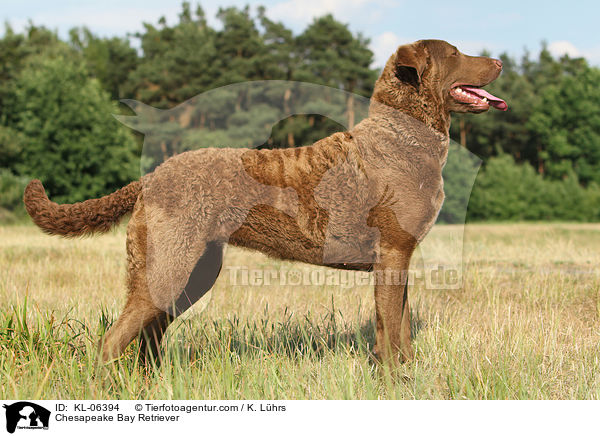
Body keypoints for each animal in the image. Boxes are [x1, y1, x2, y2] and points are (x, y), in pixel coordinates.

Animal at [22, 41, 506, 366]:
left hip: (194, 271)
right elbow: (389, 329)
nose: (500, 60)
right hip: (169, 266)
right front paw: (394, 381)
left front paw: (407, 374)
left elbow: (400, 325)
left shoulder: (399, 257)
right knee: (113, 338)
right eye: (455, 53)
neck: (402, 138)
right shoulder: (392, 252)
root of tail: (152, 175)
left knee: (148, 336)